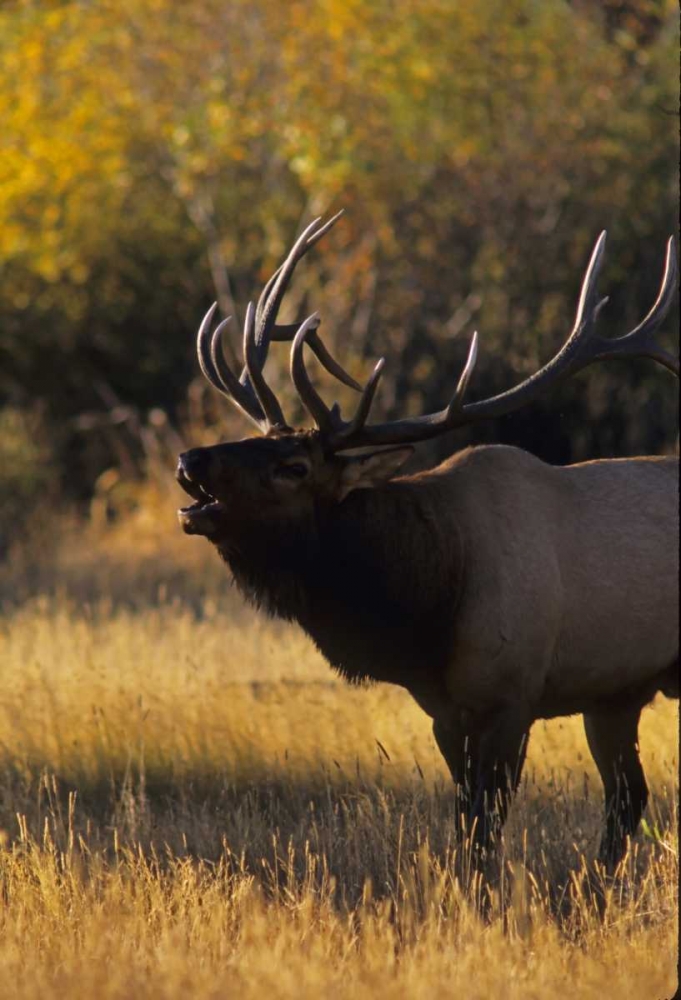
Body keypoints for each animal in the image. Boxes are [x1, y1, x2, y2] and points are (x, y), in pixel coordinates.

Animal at [176, 214, 679, 874]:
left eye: (293, 466)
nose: (190, 460)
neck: (429, 605)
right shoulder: (444, 710)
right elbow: (467, 825)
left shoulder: (512, 696)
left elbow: (487, 826)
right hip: (616, 693)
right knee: (627, 798)